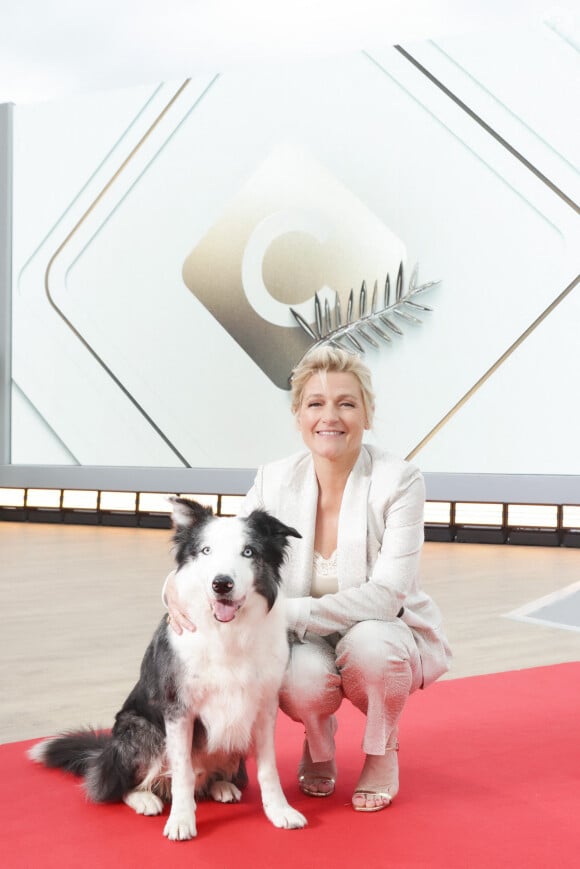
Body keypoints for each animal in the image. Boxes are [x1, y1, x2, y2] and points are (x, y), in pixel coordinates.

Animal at [29, 498, 308, 836]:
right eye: (206, 551)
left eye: (249, 551)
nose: (221, 584)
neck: (227, 631)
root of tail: (103, 756)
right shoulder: (178, 709)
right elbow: (182, 773)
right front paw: (181, 821)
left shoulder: (264, 706)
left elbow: (269, 769)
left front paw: (280, 811)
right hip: (139, 728)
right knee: (117, 787)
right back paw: (144, 799)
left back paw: (221, 786)